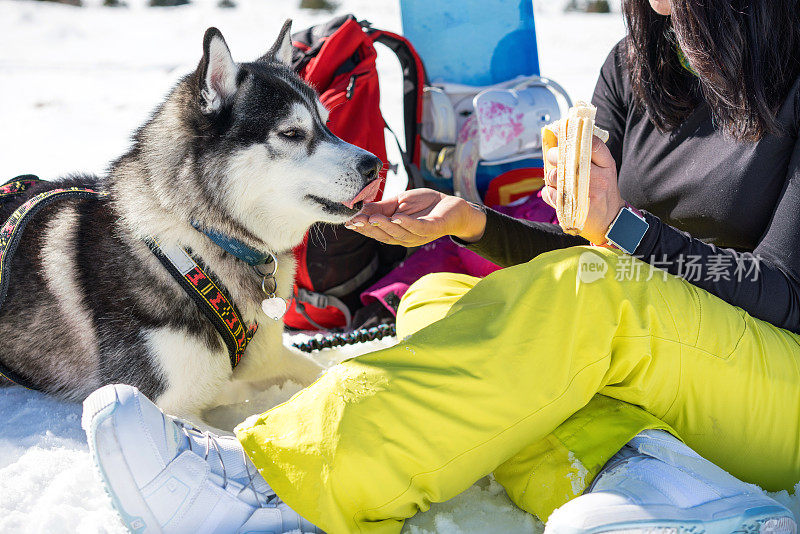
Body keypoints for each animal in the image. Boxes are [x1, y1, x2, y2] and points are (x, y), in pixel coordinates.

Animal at [0, 19, 382, 422]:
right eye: (292, 133)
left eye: (327, 124)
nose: (373, 166)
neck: (201, 242)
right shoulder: (168, 404)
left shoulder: (270, 360)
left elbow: (326, 374)